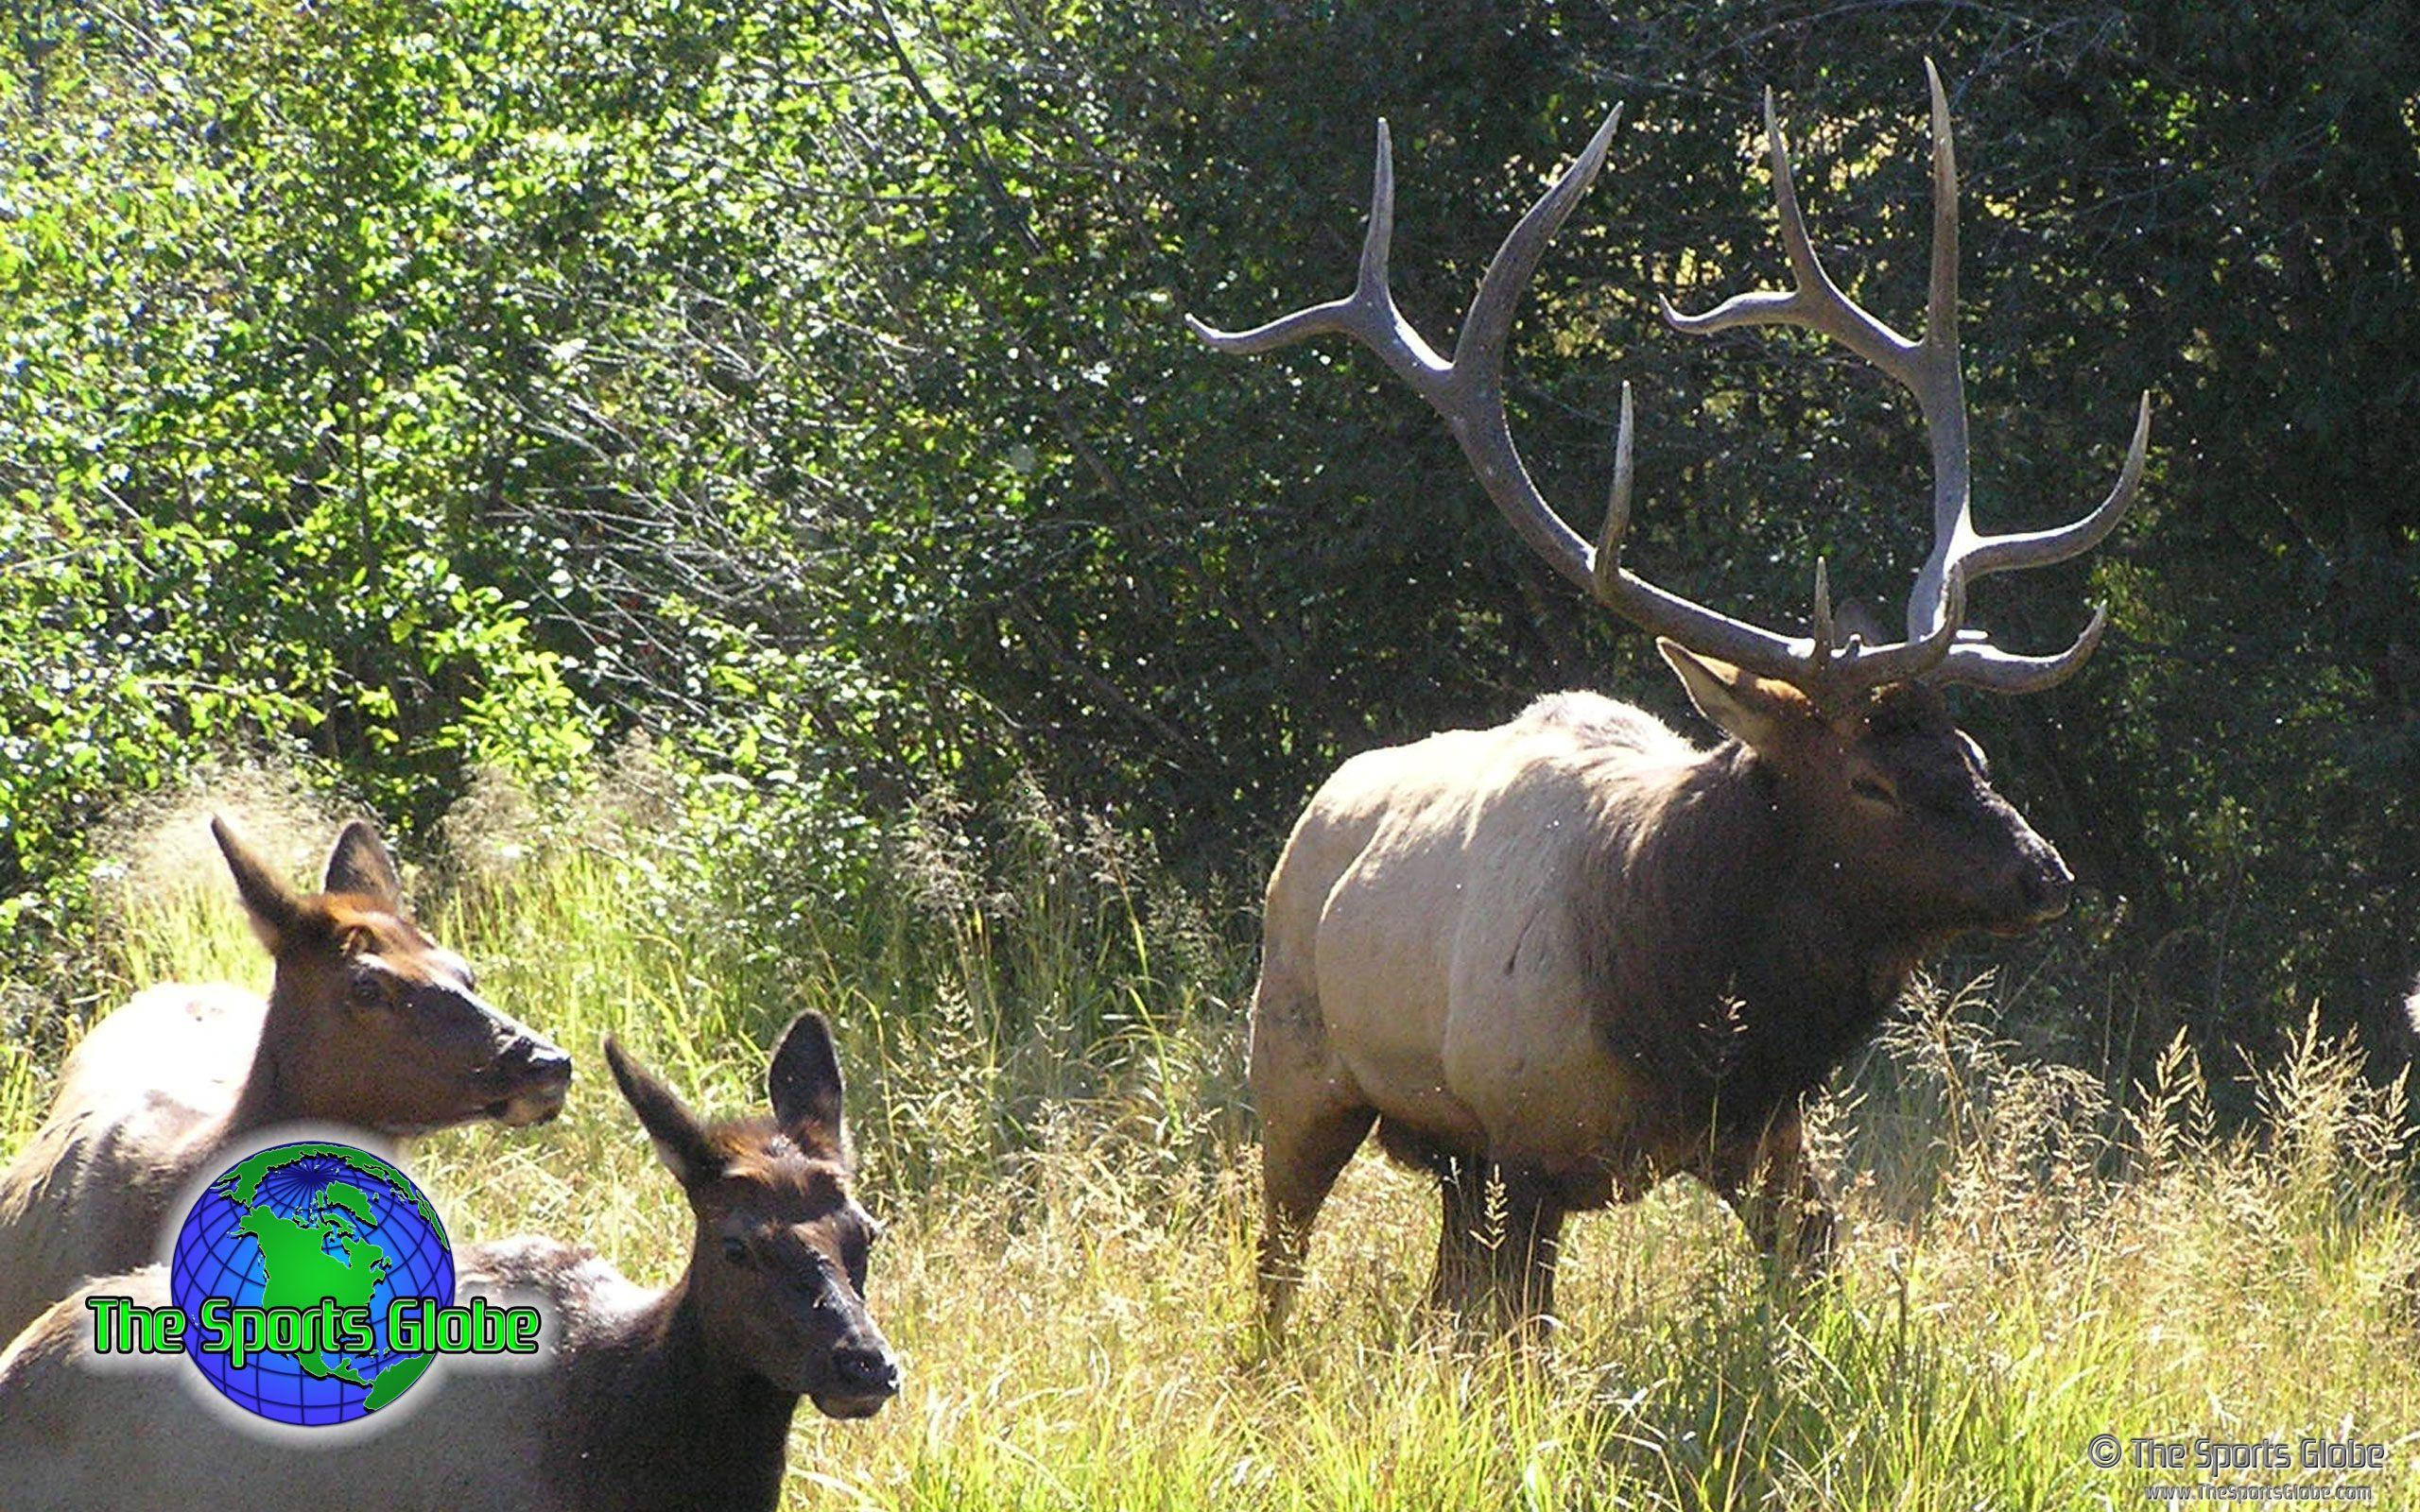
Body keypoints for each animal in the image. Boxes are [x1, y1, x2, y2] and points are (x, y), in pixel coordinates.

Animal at [1189, 63, 2153, 1335]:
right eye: (1870, 780)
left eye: (1976, 754)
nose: (2044, 873)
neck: (1690, 1014)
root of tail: (1313, 815)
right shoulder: (1526, 1144)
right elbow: (1522, 1335)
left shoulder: (1769, 1142)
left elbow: (1811, 1276)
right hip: (1294, 1066)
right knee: (1278, 1261)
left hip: (1441, 1154)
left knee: (1433, 1294)